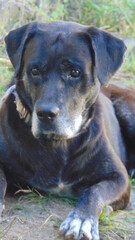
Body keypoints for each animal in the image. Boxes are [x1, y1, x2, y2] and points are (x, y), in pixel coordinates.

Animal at [0, 21, 132, 239]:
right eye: (34, 70)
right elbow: (0, 178)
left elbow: (96, 190)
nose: (46, 113)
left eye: (75, 72)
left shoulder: (119, 178)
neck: (59, 144)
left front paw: (81, 219)